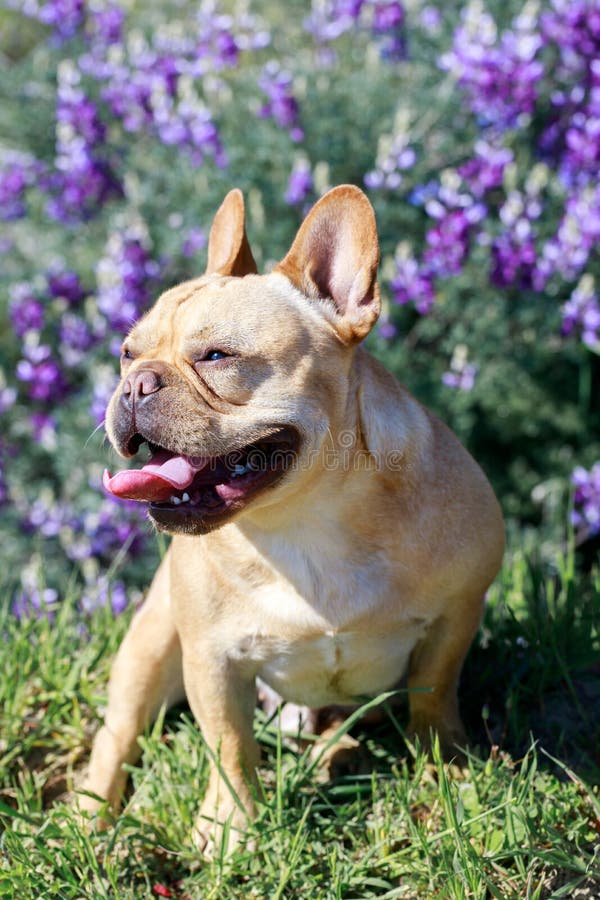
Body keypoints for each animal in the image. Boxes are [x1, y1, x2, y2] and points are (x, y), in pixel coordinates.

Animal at [78, 186, 502, 856]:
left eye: (217, 356)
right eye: (127, 353)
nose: (135, 384)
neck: (303, 520)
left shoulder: (455, 616)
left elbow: (436, 695)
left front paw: (447, 767)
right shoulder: (213, 660)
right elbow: (230, 743)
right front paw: (230, 826)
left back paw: (341, 755)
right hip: (150, 645)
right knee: (118, 732)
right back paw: (91, 813)